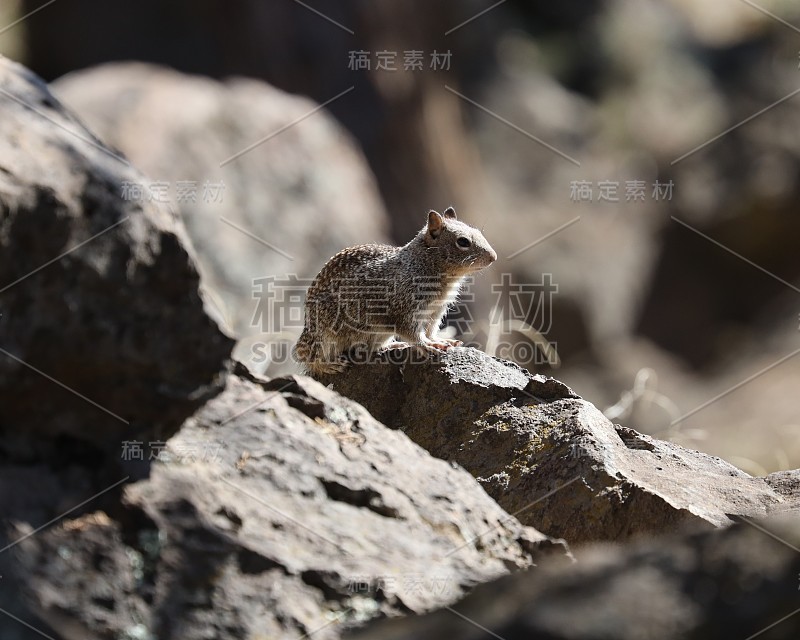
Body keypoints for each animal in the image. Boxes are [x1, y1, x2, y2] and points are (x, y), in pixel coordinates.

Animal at [294, 205, 494, 378]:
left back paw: (393, 346)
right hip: (324, 334)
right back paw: (329, 365)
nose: (494, 257)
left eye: (478, 232)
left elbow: (431, 329)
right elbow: (413, 333)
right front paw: (428, 345)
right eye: (463, 241)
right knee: (308, 356)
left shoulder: (436, 310)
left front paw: (442, 340)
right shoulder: (404, 308)